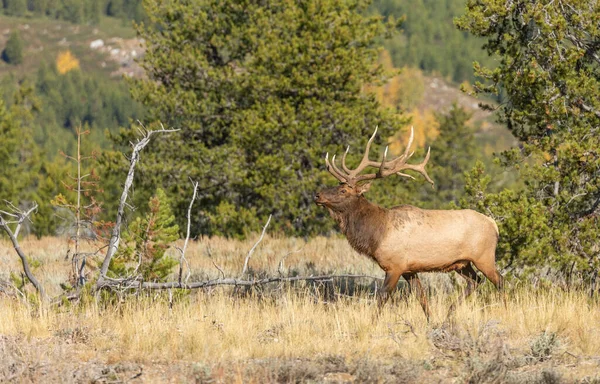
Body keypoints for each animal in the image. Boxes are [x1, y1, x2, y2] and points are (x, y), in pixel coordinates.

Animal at [316, 127, 504, 320]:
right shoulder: (409, 269)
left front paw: (371, 322)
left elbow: (382, 297)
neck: (376, 234)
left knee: (500, 281)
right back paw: (450, 312)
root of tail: (494, 224)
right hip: (462, 263)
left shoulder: (395, 266)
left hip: (484, 257)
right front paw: (431, 320)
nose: (317, 195)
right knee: (475, 281)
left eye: (343, 190)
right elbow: (421, 296)